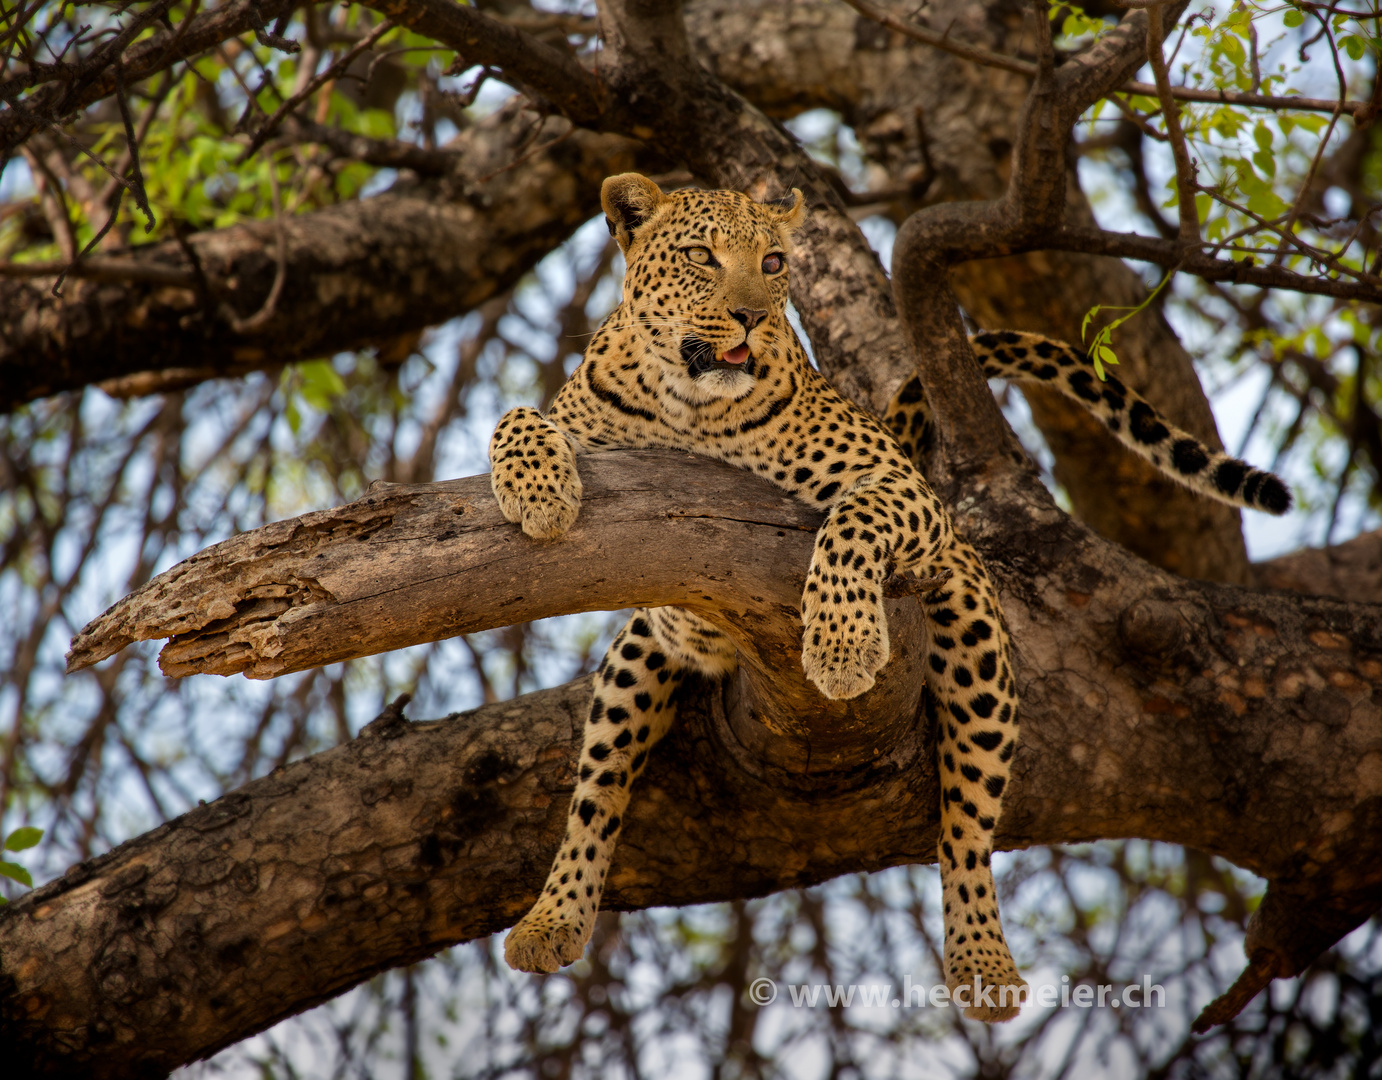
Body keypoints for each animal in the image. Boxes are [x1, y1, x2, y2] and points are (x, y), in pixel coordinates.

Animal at [491, 170, 1288, 1017]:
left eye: (774, 263)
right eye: (702, 256)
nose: (752, 316)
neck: (690, 405)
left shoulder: (902, 486)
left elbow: (850, 520)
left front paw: (843, 646)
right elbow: (519, 413)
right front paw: (539, 490)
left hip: (971, 633)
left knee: (969, 823)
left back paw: (984, 963)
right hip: (633, 660)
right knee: (595, 794)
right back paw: (551, 918)